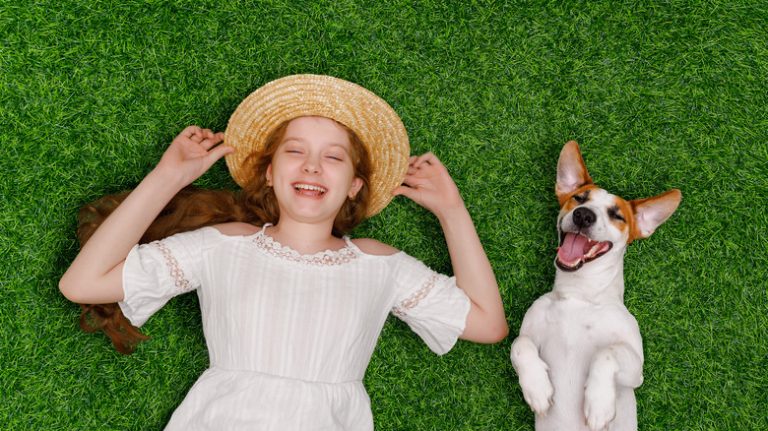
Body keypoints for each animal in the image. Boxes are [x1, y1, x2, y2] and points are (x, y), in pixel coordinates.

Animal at [512, 140, 680, 430]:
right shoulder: (530, 331)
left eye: (617, 215)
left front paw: (599, 404)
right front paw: (537, 389)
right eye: (580, 198)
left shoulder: (636, 370)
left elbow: (606, 353)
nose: (583, 215)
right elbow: (519, 344)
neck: (580, 294)